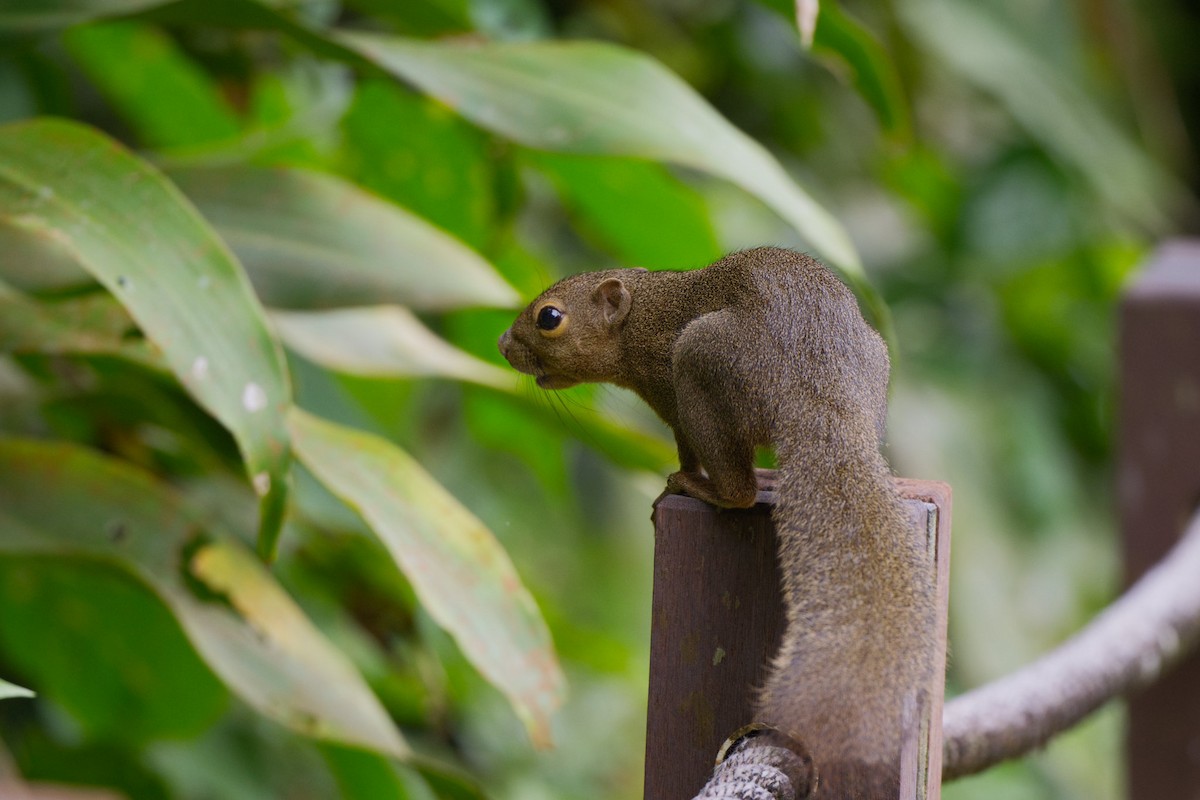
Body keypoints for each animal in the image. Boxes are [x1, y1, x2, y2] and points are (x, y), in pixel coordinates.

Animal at [498, 246, 935, 798]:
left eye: (549, 318)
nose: (502, 344)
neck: (646, 315)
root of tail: (819, 393)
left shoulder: (669, 390)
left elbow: (686, 450)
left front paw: (678, 481)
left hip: (701, 363)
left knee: (738, 489)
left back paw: (700, 488)